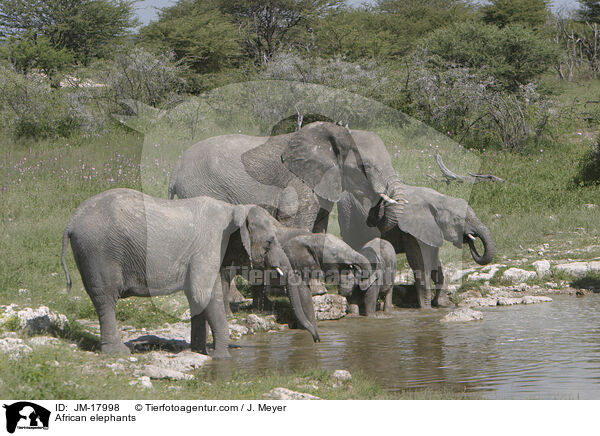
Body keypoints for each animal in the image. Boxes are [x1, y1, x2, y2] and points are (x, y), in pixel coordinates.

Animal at [61, 188, 318, 358]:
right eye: (270, 242)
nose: (316, 339)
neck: (233, 209)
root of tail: (71, 221)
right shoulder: (210, 243)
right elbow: (203, 294)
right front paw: (222, 357)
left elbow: (199, 297)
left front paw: (200, 352)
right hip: (99, 251)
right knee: (106, 298)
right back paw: (118, 353)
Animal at [340, 184, 494, 310]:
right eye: (457, 220)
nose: (469, 237)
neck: (438, 199)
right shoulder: (412, 230)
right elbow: (421, 263)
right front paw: (426, 309)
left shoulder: (432, 230)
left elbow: (435, 263)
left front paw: (443, 304)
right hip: (349, 213)